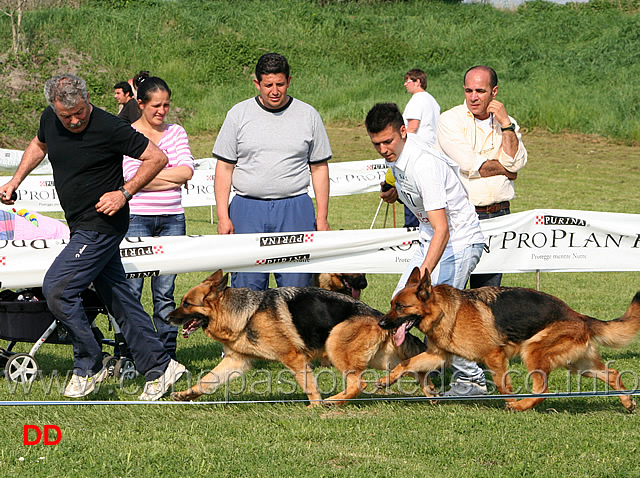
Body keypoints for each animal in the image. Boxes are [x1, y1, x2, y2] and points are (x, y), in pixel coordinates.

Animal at [166, 270, 430, 406]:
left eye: (186, 304)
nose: (166, 317)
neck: (245, 314)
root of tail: (378, 315)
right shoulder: (236, 361)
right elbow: (208, 381)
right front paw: (186, 394)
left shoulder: (294, 358)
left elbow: (309, 385)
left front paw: (315, 406)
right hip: (383, 359)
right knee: (409, 365)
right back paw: (430, 392)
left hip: (334, 343)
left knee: (358, 384)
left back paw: (333, 401)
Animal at [378, 268, 640, 412]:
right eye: (392, 304)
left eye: (400, 307)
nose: (381, 323)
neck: (444, 310)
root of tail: (579, 316)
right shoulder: (437, 355)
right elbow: (407, 363)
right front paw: (386, 380)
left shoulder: (494, 355)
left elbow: (504, 384)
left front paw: (510, 401)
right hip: (578, 365)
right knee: (612, 373)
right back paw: (627, 402)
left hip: (532, 351)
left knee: (542, 390)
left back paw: (520, 406)